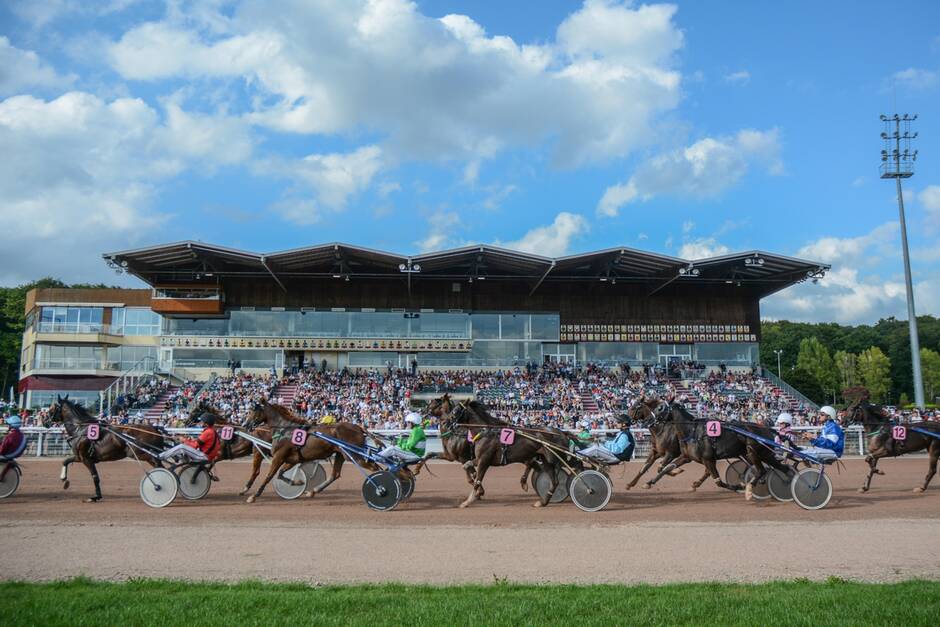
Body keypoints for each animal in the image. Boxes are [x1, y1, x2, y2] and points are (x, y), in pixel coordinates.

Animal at [242, 402, 382, 506]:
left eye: (253, 411)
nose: (245, 424)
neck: (285, 430)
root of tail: (358, 427)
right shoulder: (293, 459)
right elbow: (281, 474)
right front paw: (297, 482)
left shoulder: (279, 457)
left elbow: (269, 475)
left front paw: (254, 496)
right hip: (341, 454)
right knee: (335, 474)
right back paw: (313, 491)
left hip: (353, 455)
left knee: (374, 467)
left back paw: (380, 487)